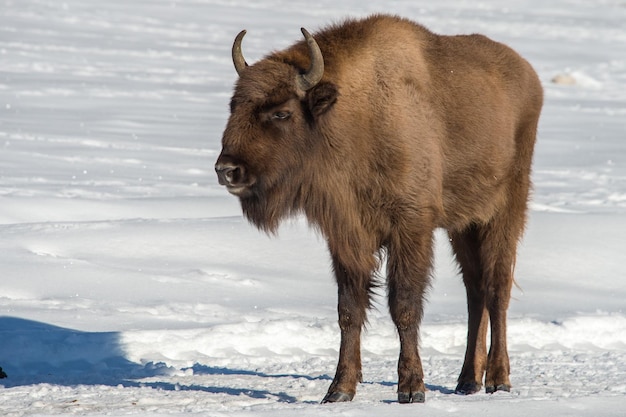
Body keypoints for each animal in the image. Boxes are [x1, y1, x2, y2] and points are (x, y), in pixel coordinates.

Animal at [213, 13, 540, 404]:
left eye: (281, 112)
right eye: (233, 106)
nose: (227, 170)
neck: (356, 115)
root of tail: (529, 76)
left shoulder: (411, 228)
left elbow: (404, 306)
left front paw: (412, 388)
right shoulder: (347, 235)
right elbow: (349, 311)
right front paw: (339, 389)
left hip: (503, 214)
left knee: (496, 289)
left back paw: (498, 379)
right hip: (463, 226)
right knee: (475, 292)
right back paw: (466, 381)